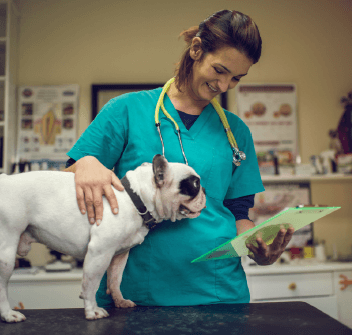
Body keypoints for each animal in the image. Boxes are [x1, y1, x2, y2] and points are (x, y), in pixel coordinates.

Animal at [0, 155, 206, 322]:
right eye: (195, 184)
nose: (204, 190)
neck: (136, 199)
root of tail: (5, 180)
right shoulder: (100, 253)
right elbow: (91, 284)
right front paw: (92, 311)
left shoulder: (119, 255)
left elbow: (115, 279)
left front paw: (119, 301)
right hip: (6, 254)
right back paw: (9, 314)